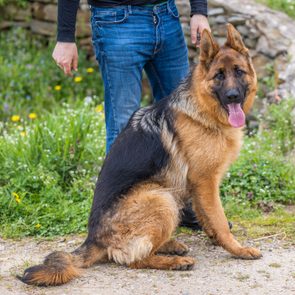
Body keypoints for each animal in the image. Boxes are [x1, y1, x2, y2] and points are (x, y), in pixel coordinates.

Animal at [20, 24, 262, 288]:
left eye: (238, 72)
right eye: (219, 75)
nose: (233, 96)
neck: (202, 110)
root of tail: (94, 238)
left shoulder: (200, 187)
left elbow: (209, 217)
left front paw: (214, 237)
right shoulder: (205, 182)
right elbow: (219, 219)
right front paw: (237, 249)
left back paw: (170, 245)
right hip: (161, 198)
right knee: (132, 259)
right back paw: (174, 261)